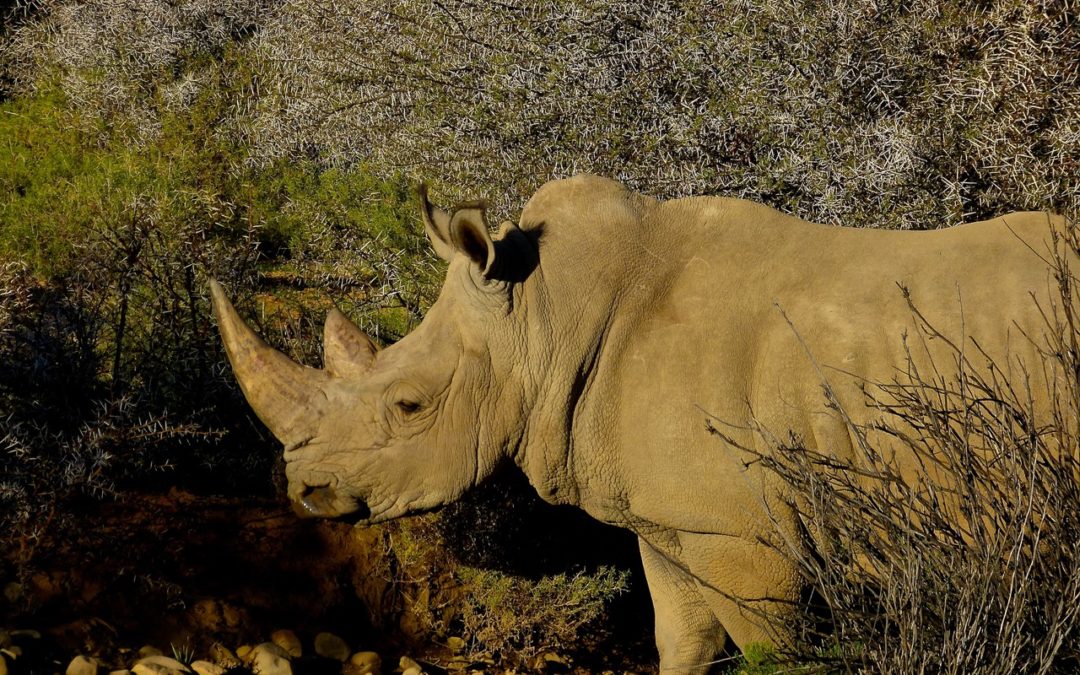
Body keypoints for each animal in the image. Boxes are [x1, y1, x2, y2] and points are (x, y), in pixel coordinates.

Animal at [211, 175, 1074, 671]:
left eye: (409, 405)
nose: (305, 490)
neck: (540, 317)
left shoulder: (746, 533)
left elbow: (775, 651)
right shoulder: (678, 520)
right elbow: (683, 638)